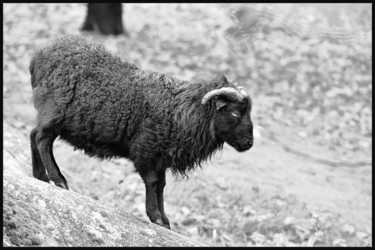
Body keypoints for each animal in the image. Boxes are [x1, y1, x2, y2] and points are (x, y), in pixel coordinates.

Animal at [28, 36, 253, 229]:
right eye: (234, 113)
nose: (249, 143)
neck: (180, 111)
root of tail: (39, 54)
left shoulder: (161, 156)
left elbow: (161, 185)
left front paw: (165, 221)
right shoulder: (146, 150)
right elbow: (152, 182)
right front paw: (155, 216)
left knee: (33, 134)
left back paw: (40, 176)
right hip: (55, 110)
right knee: (42, 139)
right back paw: (58, 179)